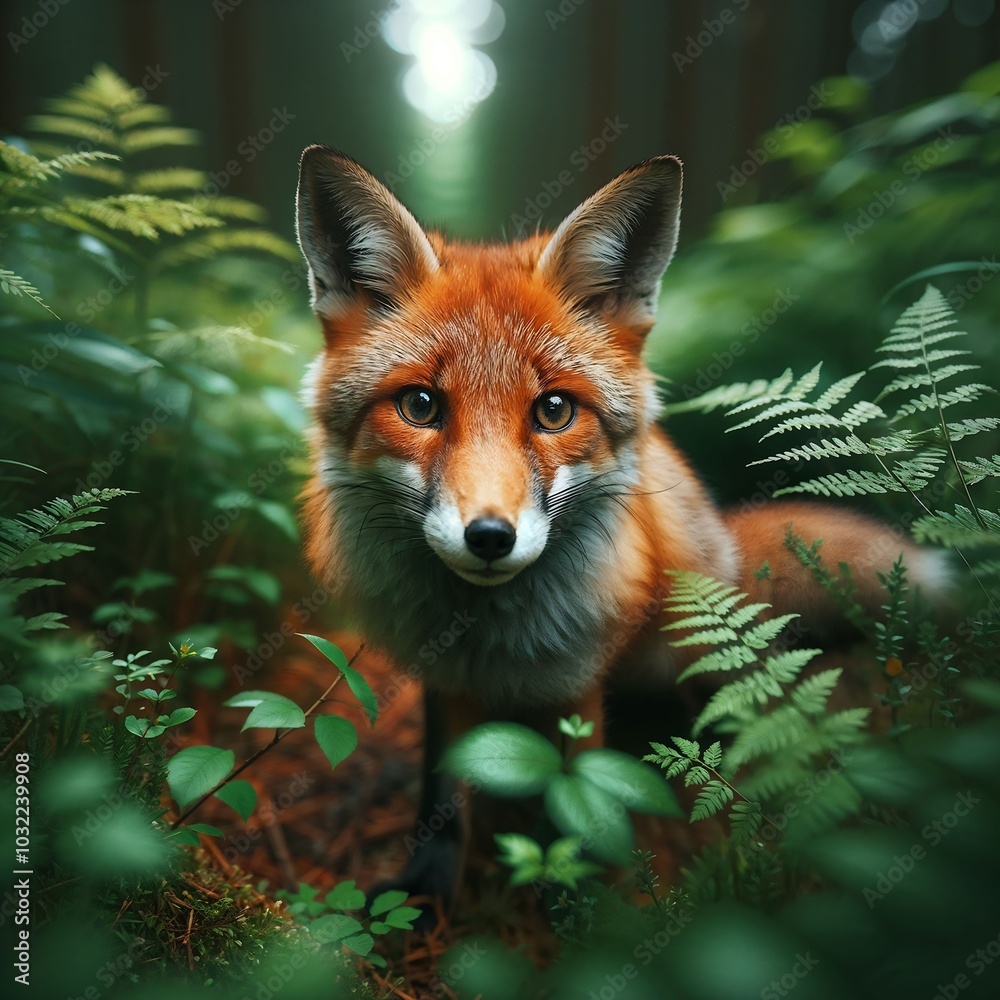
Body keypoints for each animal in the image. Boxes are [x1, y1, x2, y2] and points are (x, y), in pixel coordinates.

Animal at [293, 145, 945, 905]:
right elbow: (442, 795)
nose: (490, 537)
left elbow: (576, 795)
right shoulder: (440, 676)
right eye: (421, 405)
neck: (490, 638)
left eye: (553, 411)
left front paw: (577, 905)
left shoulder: (580, 676)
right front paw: (425, 890)